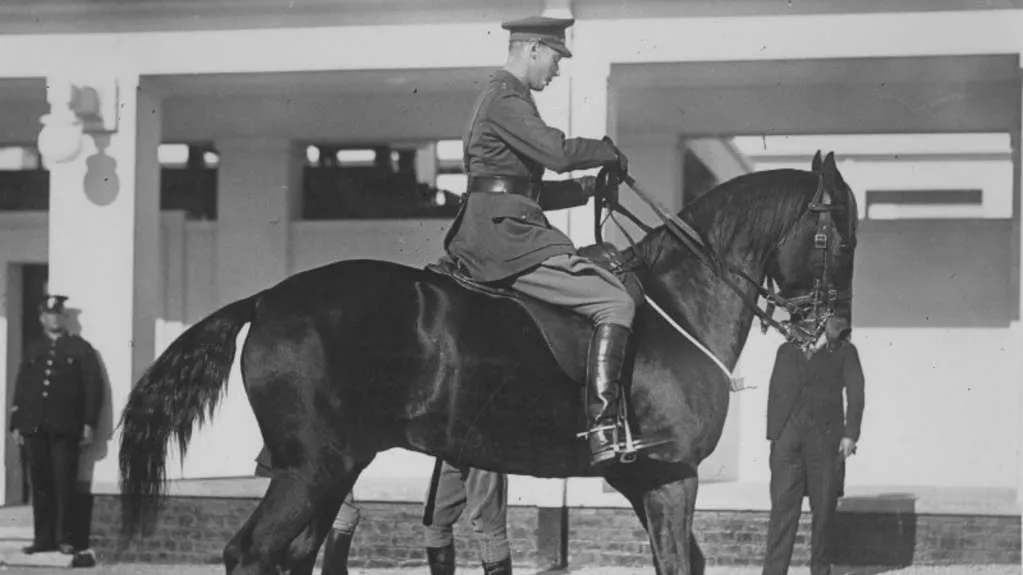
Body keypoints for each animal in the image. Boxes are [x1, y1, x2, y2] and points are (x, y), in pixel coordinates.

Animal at [116, 151, 858, 575]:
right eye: (838, 236)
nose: (833, 331)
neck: (677, 299)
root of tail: (270, 297)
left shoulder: (644, 480)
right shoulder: (672, 476)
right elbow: (678, 564)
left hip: (330, 471)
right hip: (309, 471)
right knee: (251, 554)